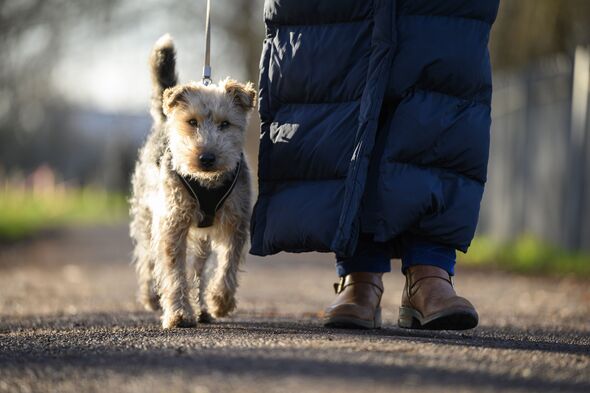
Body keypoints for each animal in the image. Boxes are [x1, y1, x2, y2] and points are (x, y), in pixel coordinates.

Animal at [131, 34, 256, 328]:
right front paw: (178, 314)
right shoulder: (172, 223)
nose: (206, 157)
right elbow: (174, 272)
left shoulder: (236, 220)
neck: (207, 182)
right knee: (147, 258)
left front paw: (220, 301)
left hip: (201, 238)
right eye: (191, 122)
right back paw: (152, 297)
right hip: (146, 218)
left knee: (199, 269)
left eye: (225, 124)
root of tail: (164, 120)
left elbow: (227, 264)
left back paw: (202, 309)